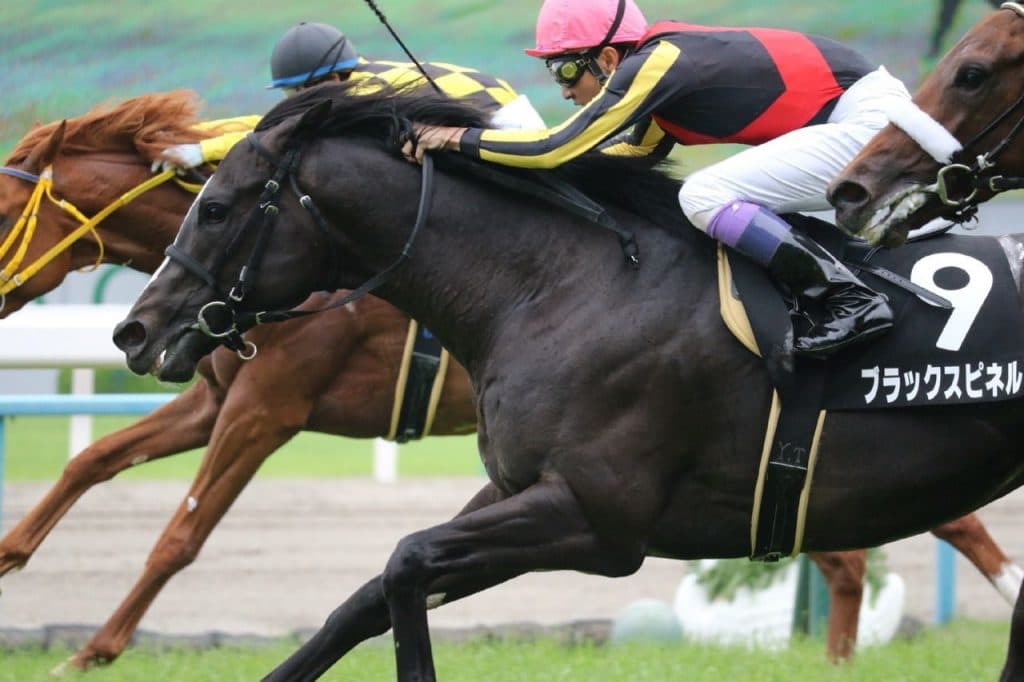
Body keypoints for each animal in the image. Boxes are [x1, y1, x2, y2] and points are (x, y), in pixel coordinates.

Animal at [111, 83, 1024, 681]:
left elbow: (406, 563)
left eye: (217, 207)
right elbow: (365, 597)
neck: (556, 286)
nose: (134, 331)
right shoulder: (520, 490)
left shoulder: (599, 520)